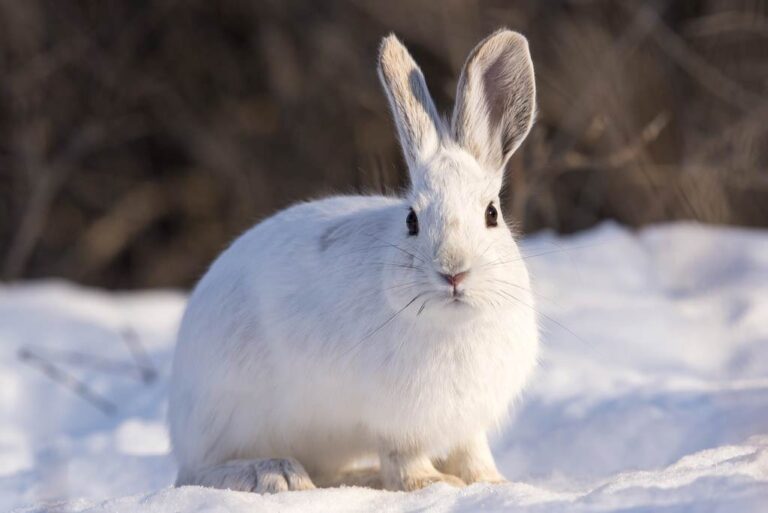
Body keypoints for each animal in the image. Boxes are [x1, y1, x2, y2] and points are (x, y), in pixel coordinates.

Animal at [168, 28, 539, 493]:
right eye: (412, 220)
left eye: (492, 214)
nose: (454, 273)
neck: (454, 325)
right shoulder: (396, 422)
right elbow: (405, 460)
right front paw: (432, 484)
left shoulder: (467, 424)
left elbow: (472, 453)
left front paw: (493, 483)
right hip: (230, 412)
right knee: (196, 472)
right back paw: (275, 473)